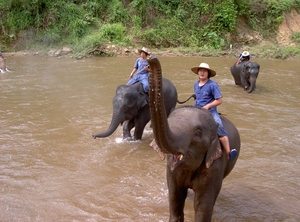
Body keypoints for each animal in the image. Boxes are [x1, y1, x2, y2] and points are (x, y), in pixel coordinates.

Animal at [148, 54, 241, 222]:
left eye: (197, 132)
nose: (150, 57)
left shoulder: (215, 165)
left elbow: (203, 204)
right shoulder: (172, 169)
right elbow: (175, 195)